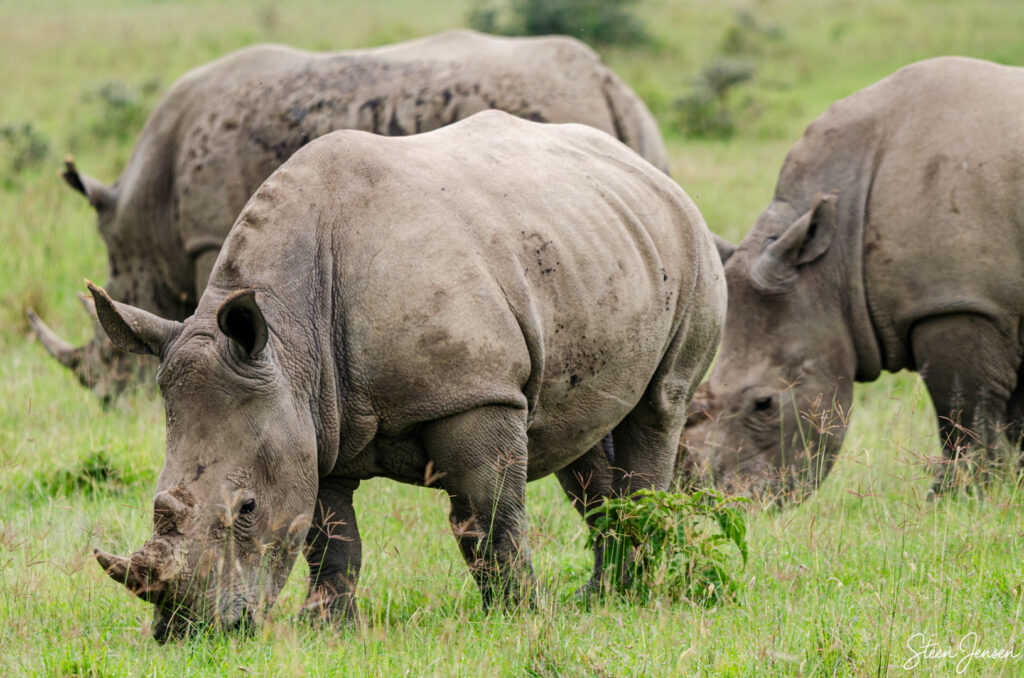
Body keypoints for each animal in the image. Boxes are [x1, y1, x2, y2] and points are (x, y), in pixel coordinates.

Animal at [87, 111, 725, 639]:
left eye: (246, 509)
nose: (184, 633)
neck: (289, 336)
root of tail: (646, 168)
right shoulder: (313, 419)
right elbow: (330, 536)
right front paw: (329, 629)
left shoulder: (475, 394)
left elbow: (491, 518)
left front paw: (516, 619)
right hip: (594, 243)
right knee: (582, 436)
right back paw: (598, 598)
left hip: (690, 242)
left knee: (659, 406)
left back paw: (633, 595)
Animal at [682, 56, 1024, 502]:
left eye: (765, 404)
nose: (720, 498)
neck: (831, 266)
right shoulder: (1000, 304)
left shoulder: (961, 302)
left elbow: (964, 411)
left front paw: (955, 498)